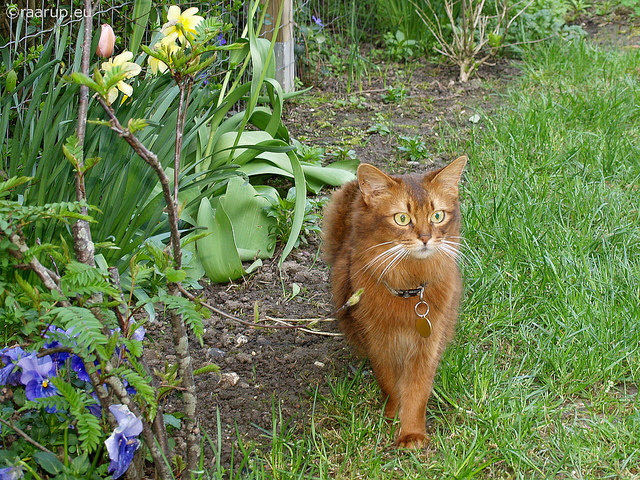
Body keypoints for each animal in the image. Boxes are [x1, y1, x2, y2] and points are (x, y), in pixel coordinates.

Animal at [324, 157, 464, 446]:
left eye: (437, 216)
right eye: (402, 218)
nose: (425, 238)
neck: (409, 290)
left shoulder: (428, 345)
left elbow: (418, 391)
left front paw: (411, 434)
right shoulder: (376, 341)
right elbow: (389, 384)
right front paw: (390, 420)